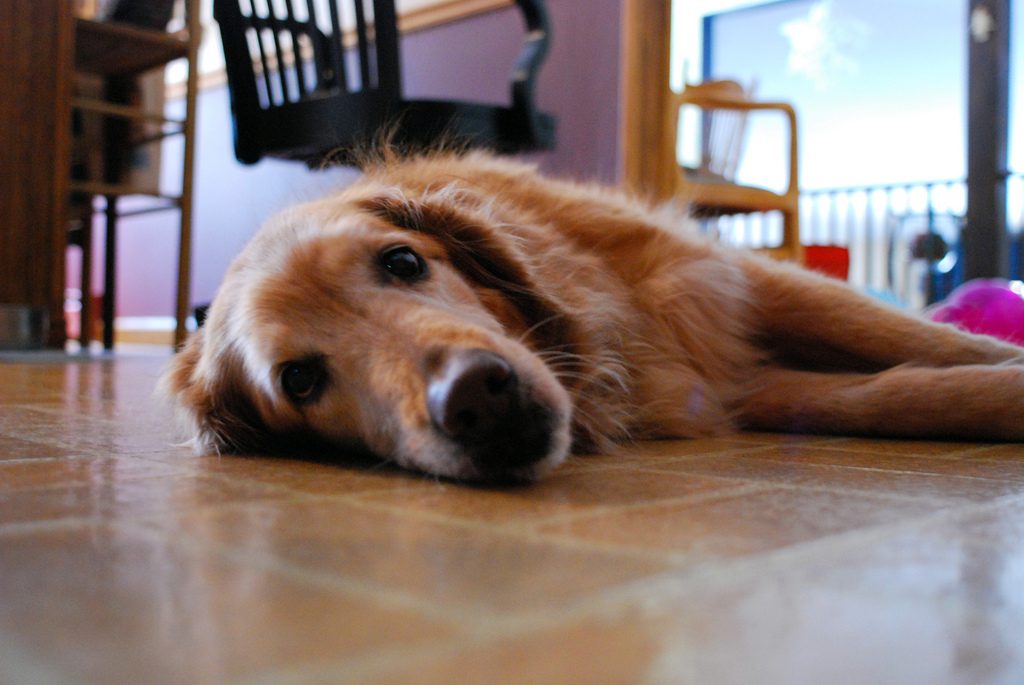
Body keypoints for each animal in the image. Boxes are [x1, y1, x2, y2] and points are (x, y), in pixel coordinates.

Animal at [159, 150, 1024, 481]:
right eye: (299, 380)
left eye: (403, 262)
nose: (476, 398)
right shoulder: (732, 387)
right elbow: (905, 393)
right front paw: (995, 393)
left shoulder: (734, 282)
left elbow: (907, 339)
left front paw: (999, 358)